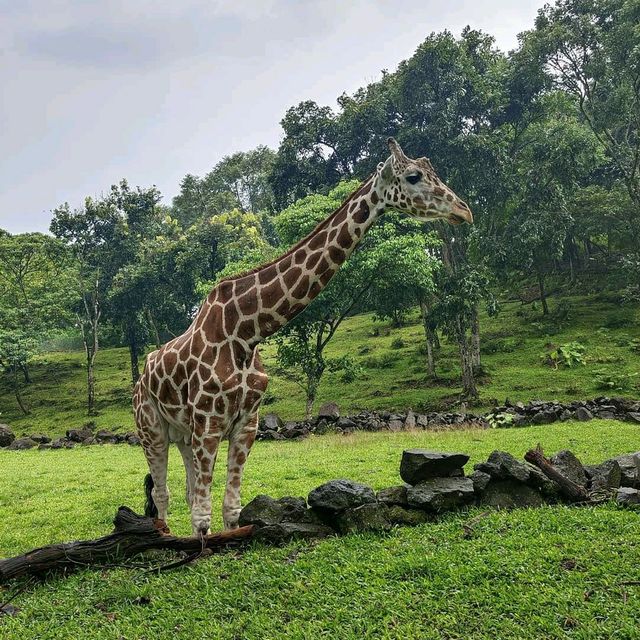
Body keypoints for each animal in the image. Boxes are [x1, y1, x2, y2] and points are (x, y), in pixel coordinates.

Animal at [134, 138, 470, 536]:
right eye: (414, 176)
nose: (464, 211)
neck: (246, 332)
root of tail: (141, 376)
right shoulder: (208, 420)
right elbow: (202, 518)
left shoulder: (246, 422)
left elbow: (230, 509)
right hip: (151, 428)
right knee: (163, 493)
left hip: (183, 433)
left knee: (182, 491)